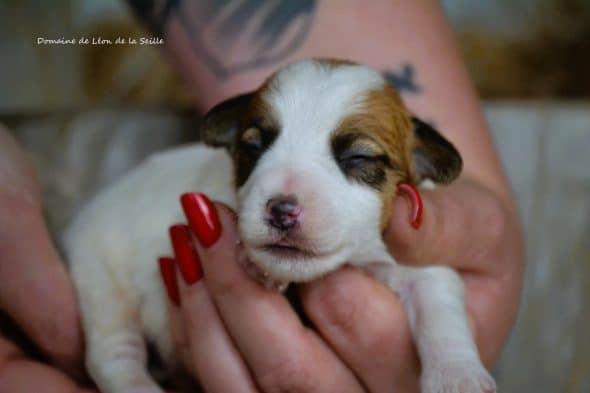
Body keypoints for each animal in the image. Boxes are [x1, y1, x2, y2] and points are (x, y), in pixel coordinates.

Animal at [65, 58, 498, 392]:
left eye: (358, 157)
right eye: (253, 147)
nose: (282, 210)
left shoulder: (413, 261)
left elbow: (439, 303)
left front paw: (458, 376)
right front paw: (260, 267)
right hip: (102, 279)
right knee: (112, 355)